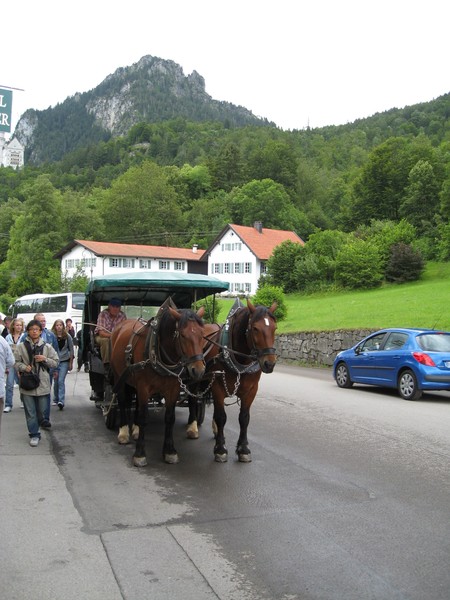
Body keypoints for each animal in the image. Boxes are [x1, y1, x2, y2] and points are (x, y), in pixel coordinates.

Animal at [110, 302, 205, 466]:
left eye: (202, 335)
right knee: (122, 401)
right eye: (183, 335)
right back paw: (123, 431)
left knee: (135, 403)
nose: (198, 370)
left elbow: (170, 418)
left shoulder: (172, 389)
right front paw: (139, 453)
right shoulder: (144, 387)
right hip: (118, 376)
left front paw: (169, 451)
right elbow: (144, 417)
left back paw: (135, 430)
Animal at [186, 298, 278, 462]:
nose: (269, 363)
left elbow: (244, 418)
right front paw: (220, 449)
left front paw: (244, 449)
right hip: (195, 376)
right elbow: (221, 417)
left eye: (275, 327)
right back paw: (192, 427)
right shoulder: (217, 387)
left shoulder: (251, 390)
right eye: (255, 328)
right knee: (193, 399)